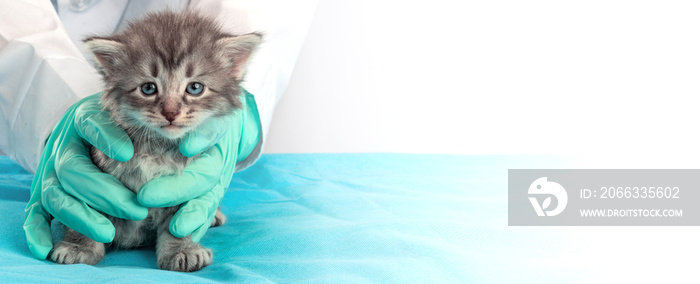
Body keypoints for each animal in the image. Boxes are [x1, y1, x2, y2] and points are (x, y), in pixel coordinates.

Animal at [49, 11, 262, 272]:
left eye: (195, 88)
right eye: (148, 88)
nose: (170, 112)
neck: (158, 148)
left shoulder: (188, 184)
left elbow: (180, 222)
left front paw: (182, 250)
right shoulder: (93, 168)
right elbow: (86, 210)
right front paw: (79, 246)